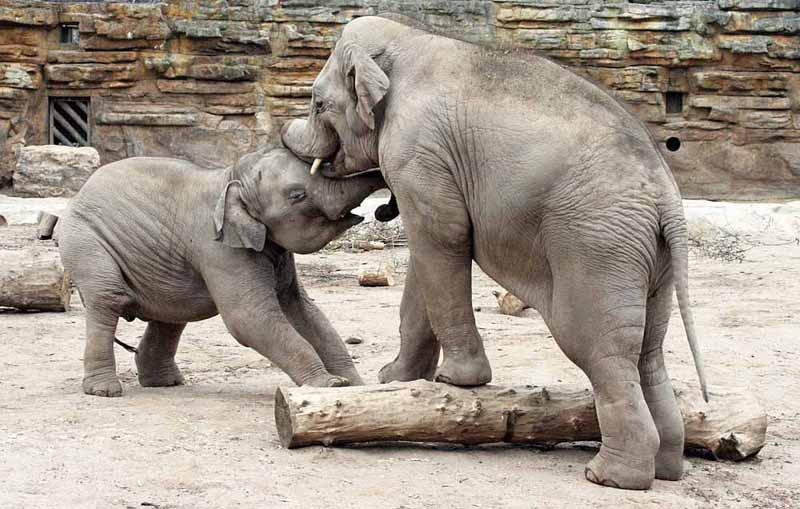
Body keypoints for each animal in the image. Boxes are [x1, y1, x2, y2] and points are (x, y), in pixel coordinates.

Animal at [56, 147, 386, 398]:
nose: (383, 208)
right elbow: (249, 318)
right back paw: (105, 391)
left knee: (172, 313)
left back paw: (166, 383)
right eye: (297, 195)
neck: (231, 178)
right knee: (108, 299)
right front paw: (328, 386)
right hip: (84, 242)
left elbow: (304, 311)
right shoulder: (219, 248)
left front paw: (355, 386)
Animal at [281, 15, 709, 490]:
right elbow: (425, 258)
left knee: (601, 350)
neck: (409, 38)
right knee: (648, 353)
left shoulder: (419, 152)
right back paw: (666, 469)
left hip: (596, 249)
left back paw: (608, 477)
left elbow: (441, 239)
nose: (379, 206)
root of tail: (665, 193)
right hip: (650, 258)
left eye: (318, 102)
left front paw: (456, 380)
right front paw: (395, 379)